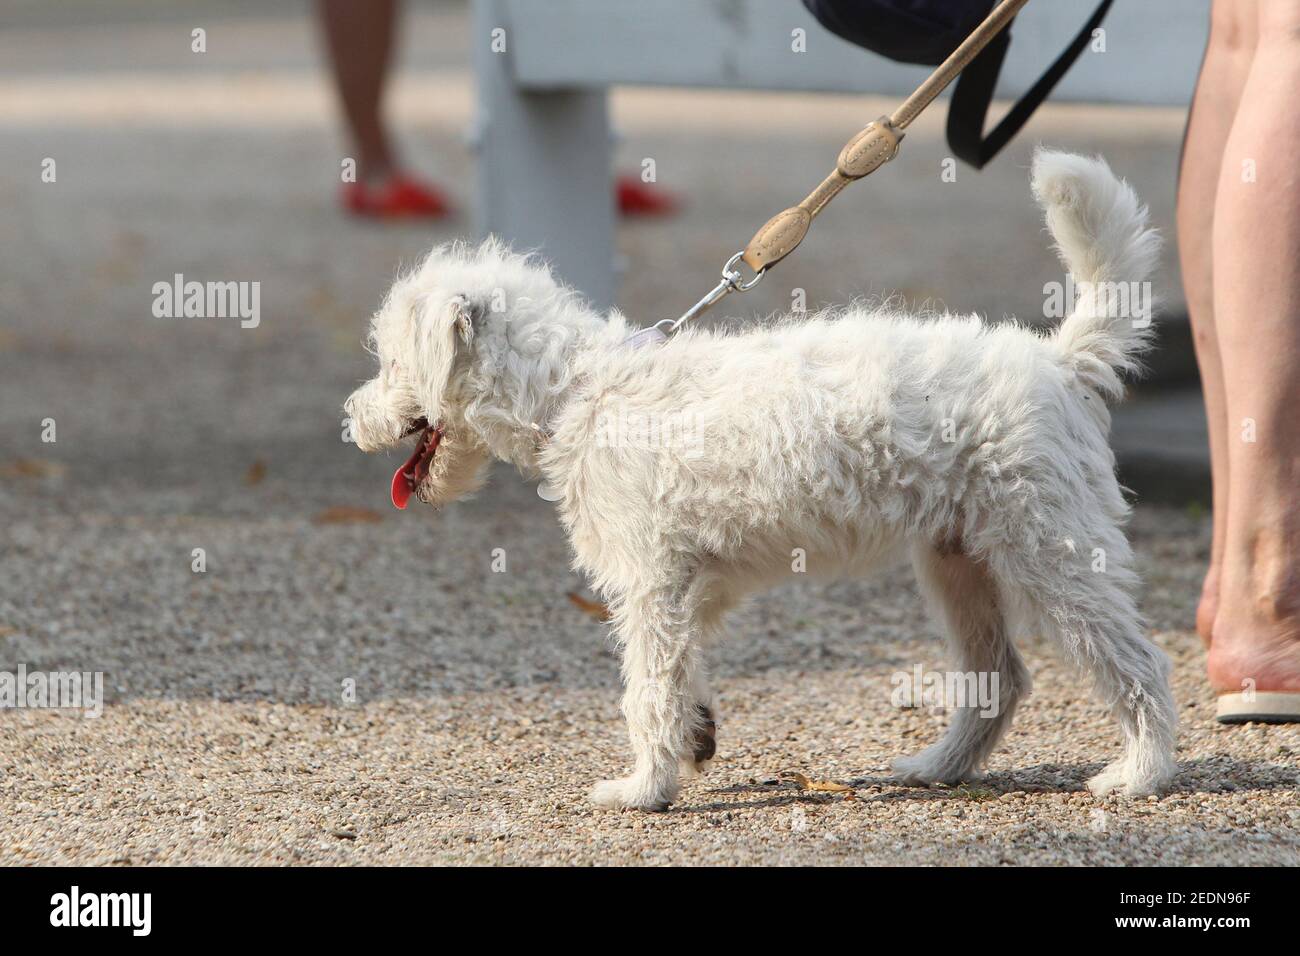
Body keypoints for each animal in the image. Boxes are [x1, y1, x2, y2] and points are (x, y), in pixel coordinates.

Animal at [345, 153, 1180, 811]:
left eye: (390, 362)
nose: (350, 418)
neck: (581, 388)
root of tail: (1058, 361)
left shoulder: (650, 585)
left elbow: (647, 689)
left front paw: (645, 788)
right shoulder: (692, 587)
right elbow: (681, 675)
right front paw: (692, 740)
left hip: (1054, 556)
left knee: (1139, 665)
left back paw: (1139, 775)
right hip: (958, 566)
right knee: (1000, 680)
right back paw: (938, 768)